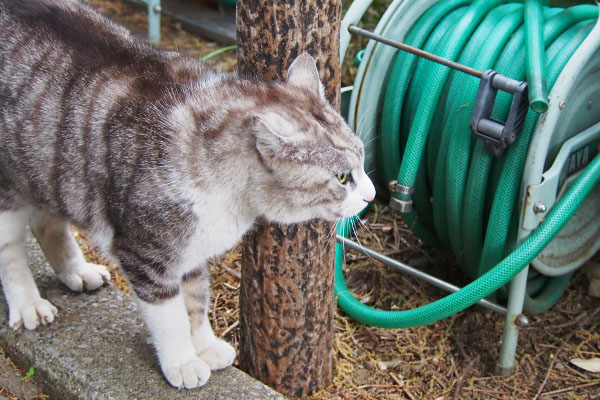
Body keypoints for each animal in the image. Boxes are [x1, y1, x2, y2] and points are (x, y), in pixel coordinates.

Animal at [0, 0, 376, 390]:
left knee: (47, 221)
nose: (371, 195)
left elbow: (196, 301)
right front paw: (182, 362)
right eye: (343, 177)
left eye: (362, 160)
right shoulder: (146, 254)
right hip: (10, 186)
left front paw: (206, 346)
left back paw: (77, 271)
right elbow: (171, 317)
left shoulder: (193, 250)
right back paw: (28, 304)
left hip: (51, 171)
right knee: (10, 248)